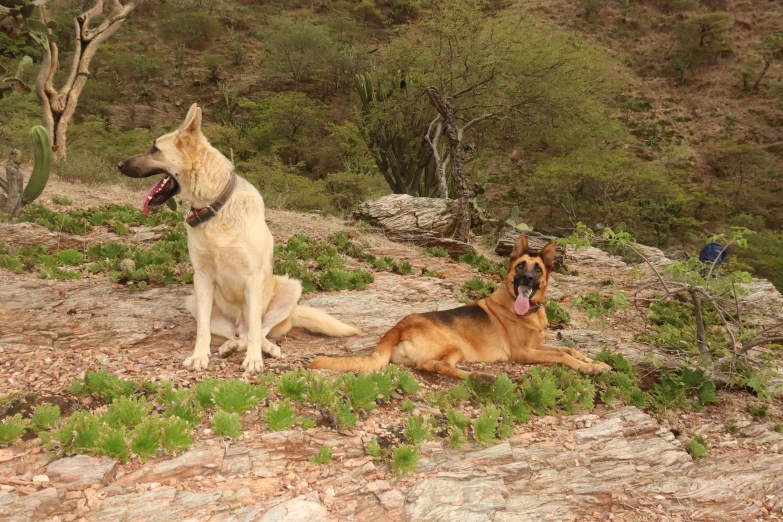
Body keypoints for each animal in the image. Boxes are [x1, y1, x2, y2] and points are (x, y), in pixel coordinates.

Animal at [118, 102, 362, 370]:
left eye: (155, 149)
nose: (118, 165)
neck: (215, 206)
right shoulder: (202, 278)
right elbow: (203, 330)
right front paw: (200, 356)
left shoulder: (252, 279)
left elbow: (256, 328)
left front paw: (254, 359)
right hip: (194, 300)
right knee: (234, 333)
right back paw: (229, 346)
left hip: (290, 288)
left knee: (258, 330)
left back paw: (266, 348)